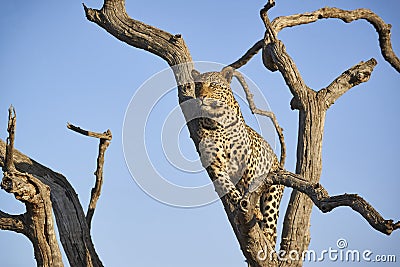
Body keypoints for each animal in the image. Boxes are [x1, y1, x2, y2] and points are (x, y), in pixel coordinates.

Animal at [191, 69, 284, 247]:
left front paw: (253, 210)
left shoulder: (248, 164)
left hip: (273, 194)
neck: (216, 122)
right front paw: (240, 203)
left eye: (213, 84)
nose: (202, 97)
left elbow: (249, 188)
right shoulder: (215, 167)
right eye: (198, 85)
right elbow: (229, 188)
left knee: (271, 228)